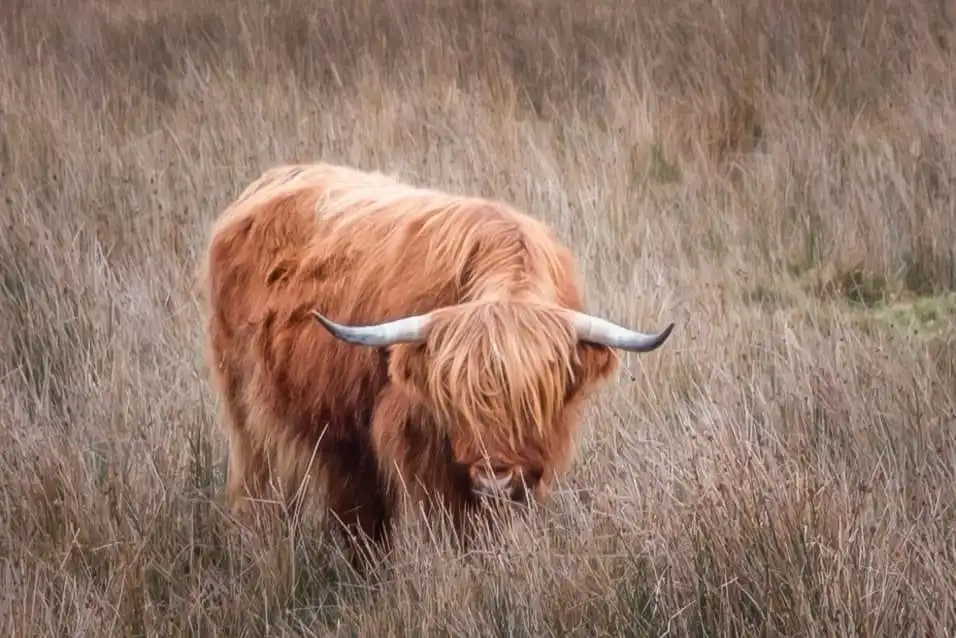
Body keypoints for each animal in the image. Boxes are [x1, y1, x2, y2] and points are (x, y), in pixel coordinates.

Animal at [198, 162, 674, 564]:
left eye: (532, 398)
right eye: (457, 400)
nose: (495, 479)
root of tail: (267, 182)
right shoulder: (423, 446)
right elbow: (454, 522)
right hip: (245, 407)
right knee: (262, 484)